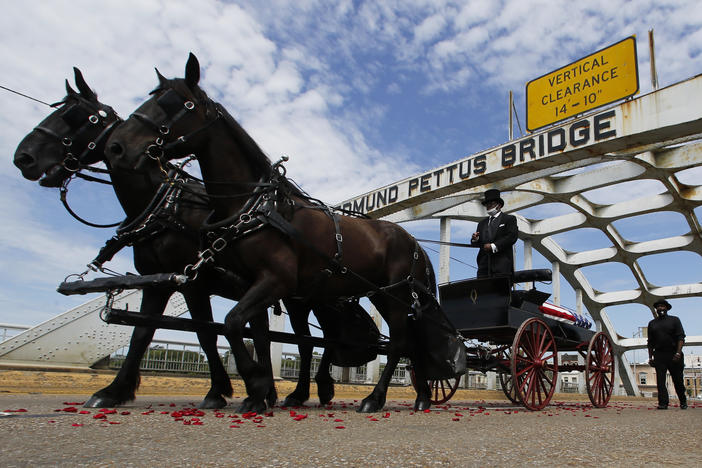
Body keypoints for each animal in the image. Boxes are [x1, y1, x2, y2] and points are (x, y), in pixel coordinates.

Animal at [106, 54, 468, 414]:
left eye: (180, 104)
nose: (117, 146)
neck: (256, 205)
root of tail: (415, 243)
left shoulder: (273, 281)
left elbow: (232, 324)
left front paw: (256, 385)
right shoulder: (251, 286)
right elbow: (250, 333)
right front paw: (262, 390)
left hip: (395, 295)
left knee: (397, 343)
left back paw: (375, 398)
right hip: (383, 294)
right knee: (409, 342)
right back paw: (422, 396)